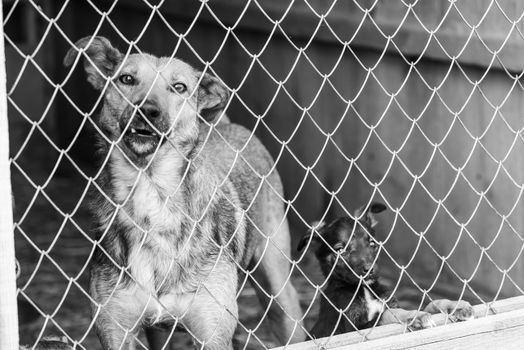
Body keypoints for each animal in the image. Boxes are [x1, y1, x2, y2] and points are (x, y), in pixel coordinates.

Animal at [64, 37, 308, 348]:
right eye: (126, 79)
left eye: (179, 87)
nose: (147, 110)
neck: (151, 189)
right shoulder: (116, 331)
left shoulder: (212, 333)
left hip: (278, 290)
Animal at [298, 204, 474, 338]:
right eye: (340, 250)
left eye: (372, 244)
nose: (370, 270)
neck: (364, 289)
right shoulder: (353, 328)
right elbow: (387, 314)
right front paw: (413, 315)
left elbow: (431, 303)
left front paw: (456, 305)